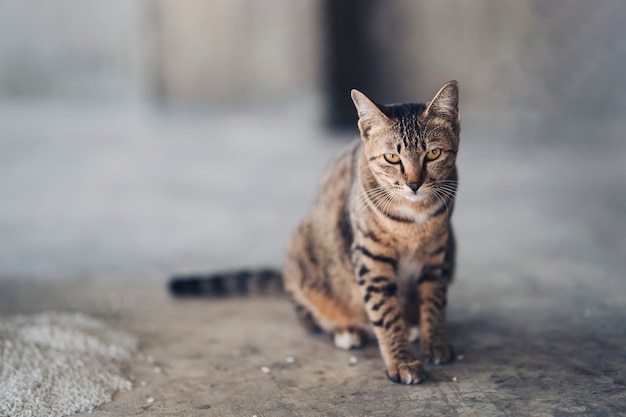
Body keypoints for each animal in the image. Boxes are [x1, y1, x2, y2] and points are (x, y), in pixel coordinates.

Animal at [169, 81, 458, 384]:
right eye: (392, 157)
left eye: (433, 154)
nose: (414, 184)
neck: (414, 220)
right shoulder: (370, 258)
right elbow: (385, 313)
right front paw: (402, 361)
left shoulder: (438, 253)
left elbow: (434, 302)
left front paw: (434, 342)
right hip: (301, 254)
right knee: (311, 317)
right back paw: (345, 331)